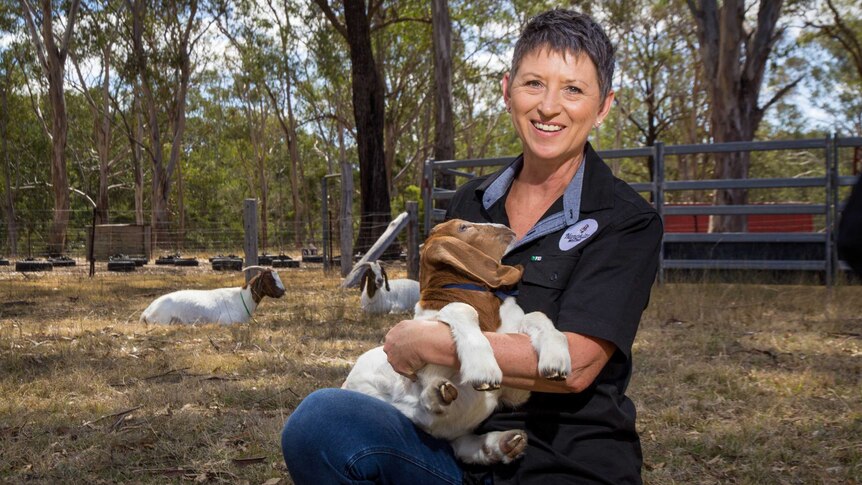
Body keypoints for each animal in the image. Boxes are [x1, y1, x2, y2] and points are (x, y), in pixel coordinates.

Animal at [142, 266, 286, 324]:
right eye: (270, 278)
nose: (283, 291)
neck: (242, 298)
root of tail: (146, 312)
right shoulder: (226, 320)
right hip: (164, 320)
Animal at [344, 219, 572, 466]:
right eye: (463, 227)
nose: (506, 228)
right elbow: (463, 308)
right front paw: (484, 368)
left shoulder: (514, 391)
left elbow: (536, 316)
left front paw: (556, 359)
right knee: (420, 412)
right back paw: (437, 396)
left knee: (460, 443)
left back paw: (503, 443)